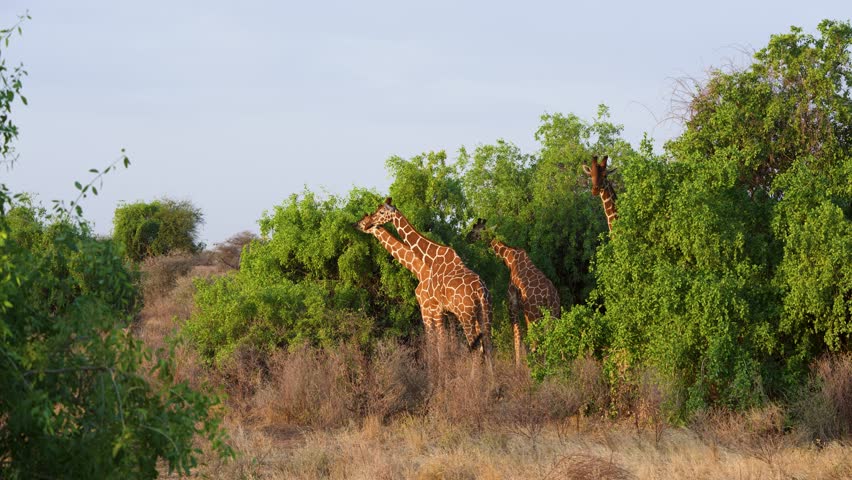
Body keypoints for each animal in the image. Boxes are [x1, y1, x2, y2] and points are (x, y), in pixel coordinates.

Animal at [367, 199, 493, 362]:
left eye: (381, 212)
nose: (369, 223)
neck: (431, 258)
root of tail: (481, 291)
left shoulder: (435, 307)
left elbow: (440, 343)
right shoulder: (446, 311)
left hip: (466, 316)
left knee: (476, 349)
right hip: (486, 314)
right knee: (488, 347)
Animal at [470, 220, 560, 366]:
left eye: (476, 230)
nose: (468, 238)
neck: (509, 259)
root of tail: (550, 297)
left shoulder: (512, 304)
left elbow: (517, 336)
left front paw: (518, 365)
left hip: (533, 315)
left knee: (536, 343)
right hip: (553, 314)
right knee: (549, 340)